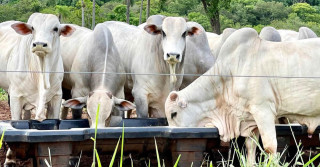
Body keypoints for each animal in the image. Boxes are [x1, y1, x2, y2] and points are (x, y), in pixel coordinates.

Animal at [0, 12, 74, 167]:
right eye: (32, 28)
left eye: (55, 28)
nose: (39, 44)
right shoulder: (15, 97)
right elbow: (15, 126)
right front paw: (10, 159)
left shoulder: (57, 97)